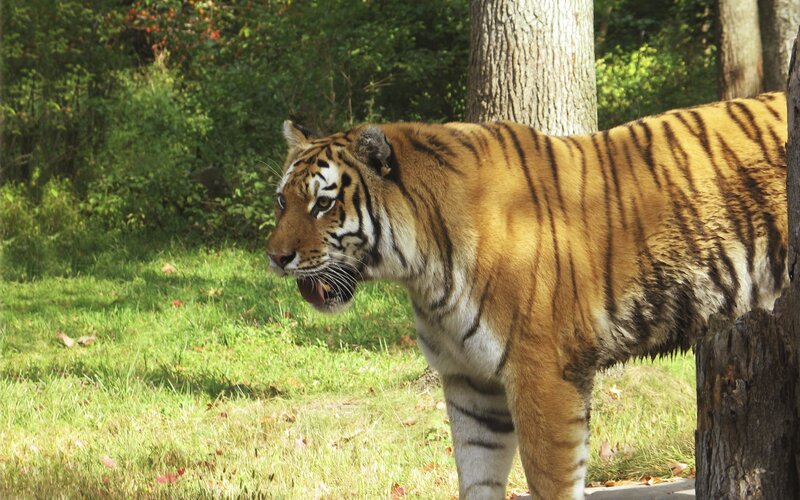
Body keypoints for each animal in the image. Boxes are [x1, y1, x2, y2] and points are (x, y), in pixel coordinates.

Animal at [266, 92, 789, 499]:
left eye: (324, 204)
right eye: (282, 201)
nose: (274, 257)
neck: (423, 272)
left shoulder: (543, 372)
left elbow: (550, 480)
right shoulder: (469, 383)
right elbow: (476, 479)